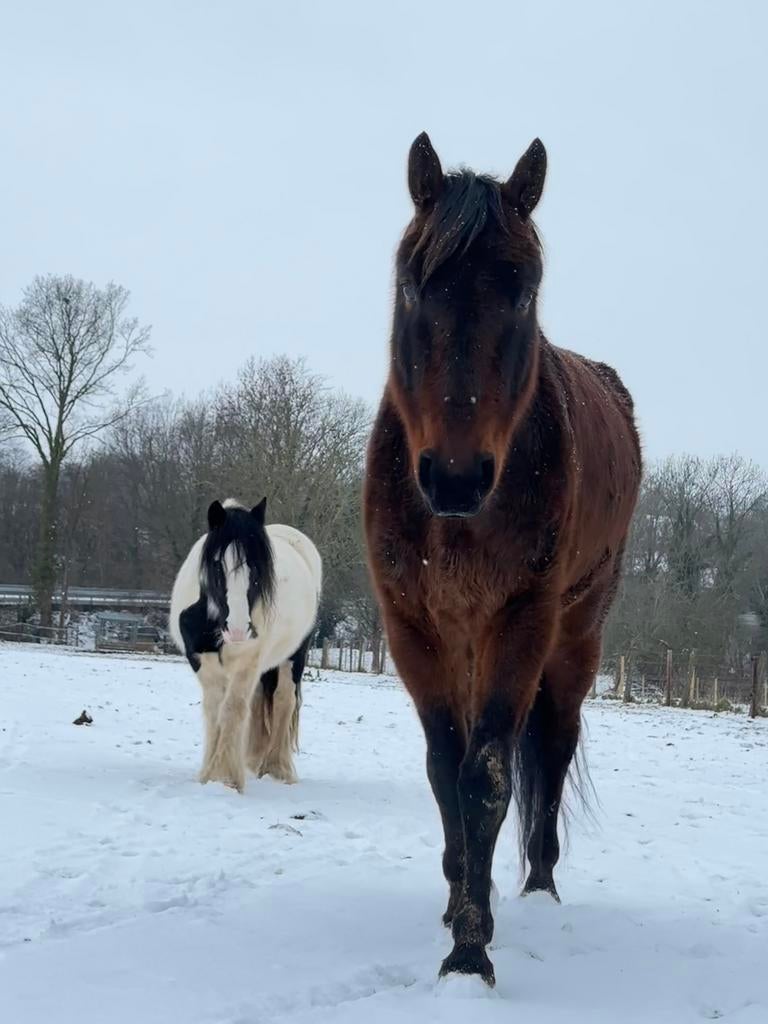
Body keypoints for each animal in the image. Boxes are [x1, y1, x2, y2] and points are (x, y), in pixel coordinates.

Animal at [170, 498, 322, 793]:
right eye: (217, 565)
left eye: (257, 568)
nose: (238, 629)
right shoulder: (201, 659)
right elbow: (215, 710)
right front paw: (210, 774)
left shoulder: (247, 661)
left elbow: (232, 709)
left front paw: (224, 777)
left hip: (293, 656)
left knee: (283, 699)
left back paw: (277, 769)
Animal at [364, 133, 641, 986]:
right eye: (413, 285)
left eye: (523, 293)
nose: (455, 477)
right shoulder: (414, 627)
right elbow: (444, 770)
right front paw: (460, 906)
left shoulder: (521, 621)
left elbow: (486, 775)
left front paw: (470, 949)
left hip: (575, 635)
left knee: (549, 747)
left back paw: (540, 890)